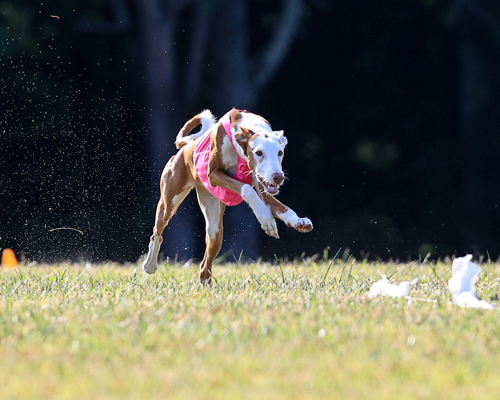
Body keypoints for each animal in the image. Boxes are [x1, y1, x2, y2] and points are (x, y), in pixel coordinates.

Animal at [142, 108, 313, 284]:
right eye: (259, 153)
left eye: (280, 152)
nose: (278, 177)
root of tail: (187, 146)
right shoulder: (214, 174)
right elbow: (247, 189)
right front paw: (267, 219)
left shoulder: (261, 183)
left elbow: (280, 206)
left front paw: (298, 221)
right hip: (169, 201)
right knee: (157, 233)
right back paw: (150, 265)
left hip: (214, 226)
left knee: (205, 264)